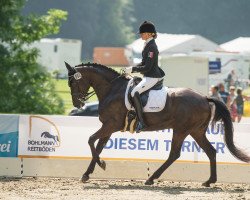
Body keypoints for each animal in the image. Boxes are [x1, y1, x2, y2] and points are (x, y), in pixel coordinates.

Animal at [65, 61, 250, 187]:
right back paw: (209, 181)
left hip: (181, 130)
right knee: (210, 151)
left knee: (174, 154)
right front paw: (87, 173)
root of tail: (204, 97)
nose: (77, 104)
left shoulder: (110, 125)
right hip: (196, 131)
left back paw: (151, 178)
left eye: (73, 82)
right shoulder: (108, 128)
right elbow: (98, 147)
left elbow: (90, 140)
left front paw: (101, 165)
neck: (112, 89)